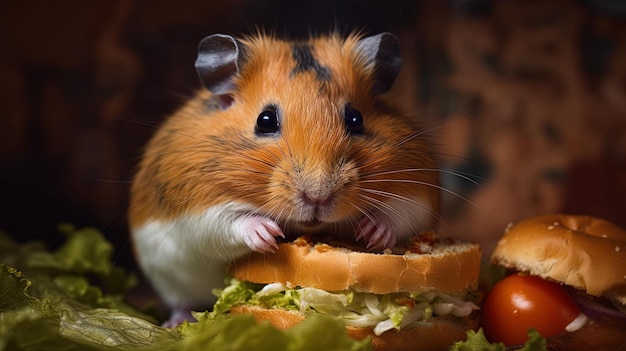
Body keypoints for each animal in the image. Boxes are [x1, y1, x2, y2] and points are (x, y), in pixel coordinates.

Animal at [128, 31, 438, 328]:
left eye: (355, 119)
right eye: (265, 120)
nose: (317, 197)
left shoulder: (416, 190)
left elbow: (400, 214)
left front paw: (372, 232)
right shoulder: (195, 208)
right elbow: (228, 221)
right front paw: (268, 234)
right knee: (181, 301)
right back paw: (176, 323)